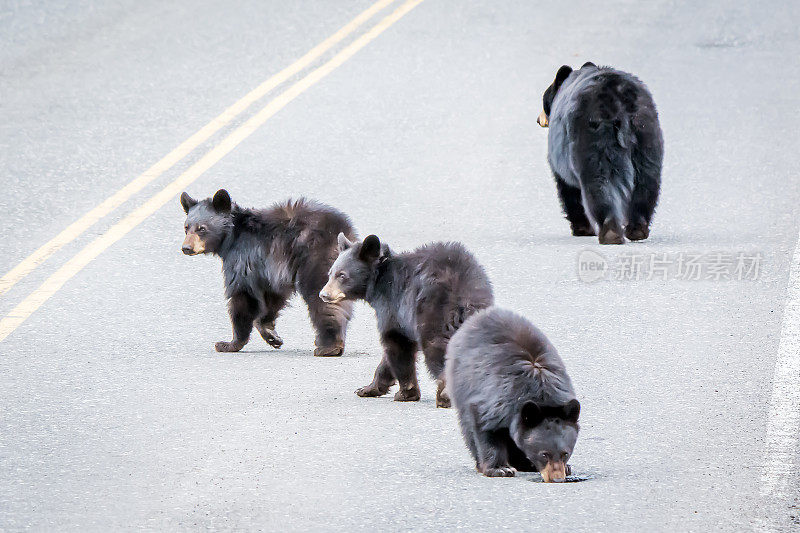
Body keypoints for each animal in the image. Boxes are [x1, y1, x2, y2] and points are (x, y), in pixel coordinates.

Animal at [183, 189, 358, 356]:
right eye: (186, 227)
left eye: (201, 228)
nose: (186, 248)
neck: (232, 236)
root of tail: (341, 229)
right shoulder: (271, 270)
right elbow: (273, 295)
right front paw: (271, 335)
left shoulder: (242, 258)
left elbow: (243, 294)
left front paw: (230, 343)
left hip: (316, 260)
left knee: (321, 298)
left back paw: (329, 346)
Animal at [318, 234, 494, 408]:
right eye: (330, 273)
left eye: (342, 275)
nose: (323, 294)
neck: (380, 278)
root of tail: (465, 294)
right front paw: (368, 388)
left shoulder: (393, 306)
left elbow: (397, 344)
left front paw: (406, 393)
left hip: (433, 313)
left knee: (436, 348)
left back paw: (445, 396)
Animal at [444, 306, 580, 480]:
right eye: (544, 454)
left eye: (565, 454)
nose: (557, 479)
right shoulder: (494, 400)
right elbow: (485, 426)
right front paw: (499, 468)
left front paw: (567, 467)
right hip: (461, 381)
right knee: (467, 427)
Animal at [540, 61, 664, 243]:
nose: (538, 119)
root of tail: (621, 104)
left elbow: (567, 188)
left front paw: (582, 229)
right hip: (646, 136)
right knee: (646, 183)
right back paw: (637, 230)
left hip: (592, 140)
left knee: (598, 184)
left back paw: (610, 233)